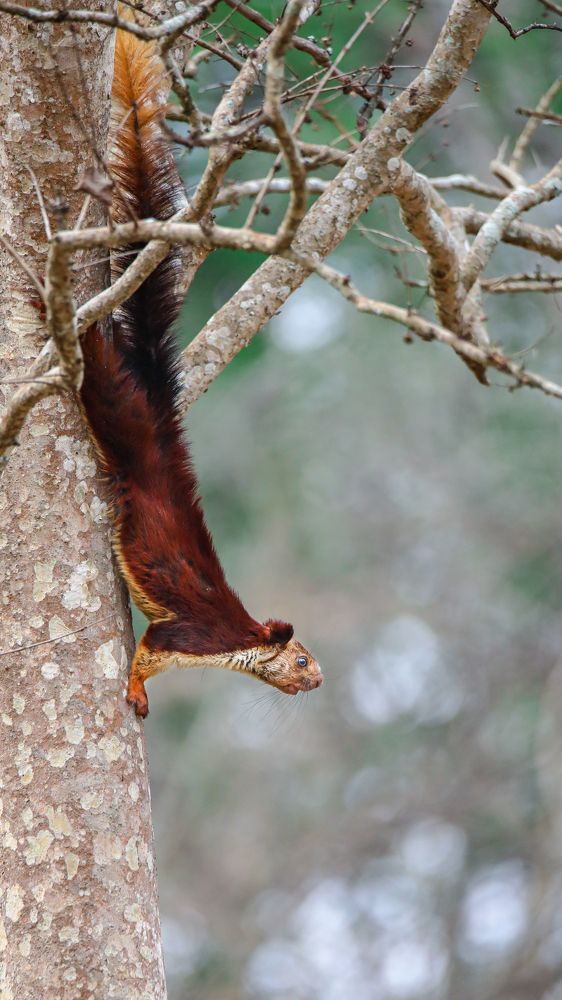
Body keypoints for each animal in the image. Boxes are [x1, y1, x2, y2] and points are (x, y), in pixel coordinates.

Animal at [79, 29, 323, 717]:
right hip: (118, 414)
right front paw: (137, 693)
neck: (237, 642)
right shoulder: (186, 635)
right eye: (301, 659)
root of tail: (160, 417)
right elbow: (145, 655)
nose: (321, 681)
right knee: (99, 372)